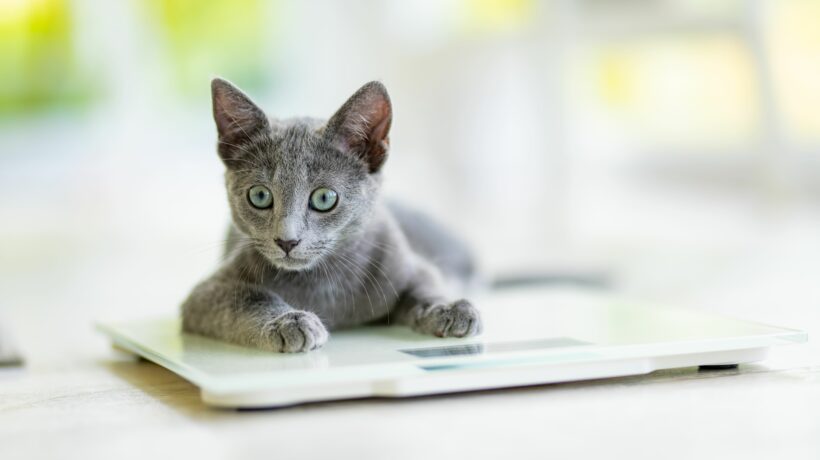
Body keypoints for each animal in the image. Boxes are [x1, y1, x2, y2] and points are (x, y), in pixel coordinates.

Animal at [181, 78, 480, 352]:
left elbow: (426, 285)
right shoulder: (204, 294)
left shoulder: (406, 262)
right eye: (260, 196)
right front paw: (289, 321)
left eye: (324, 198)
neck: (323, 283)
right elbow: (248, 298)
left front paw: (449, 308)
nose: (287, 241)